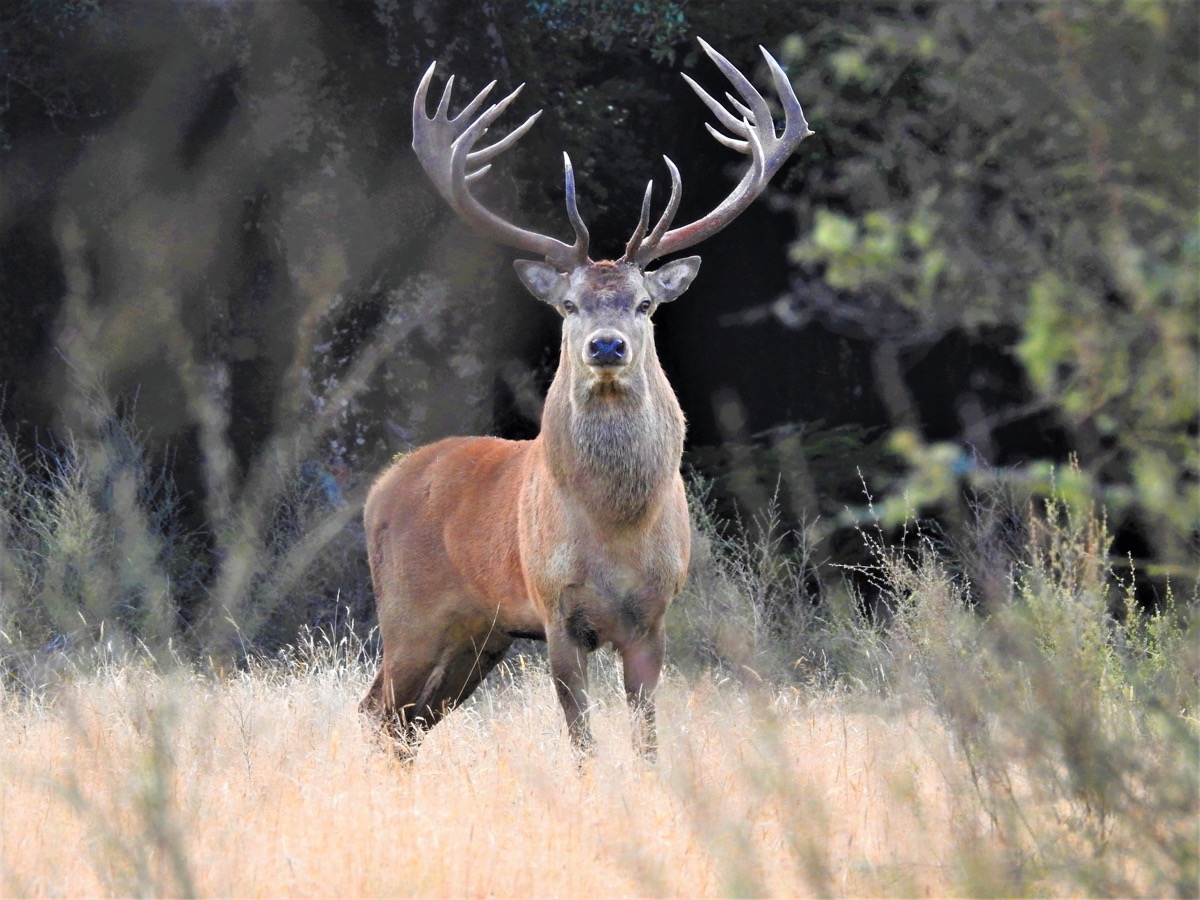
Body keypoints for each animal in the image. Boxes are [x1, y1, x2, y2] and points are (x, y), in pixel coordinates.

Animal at [361, 38, 812, 760]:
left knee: (405, 721)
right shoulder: (554, 608)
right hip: (409, 612)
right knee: (378, 710)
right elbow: (582, 741)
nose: (606, 346)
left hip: (476, 636)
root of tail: (380, 488)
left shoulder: (653, 616)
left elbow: (646, 737)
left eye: (645, 302)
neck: (615, 527)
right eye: (569, 304)